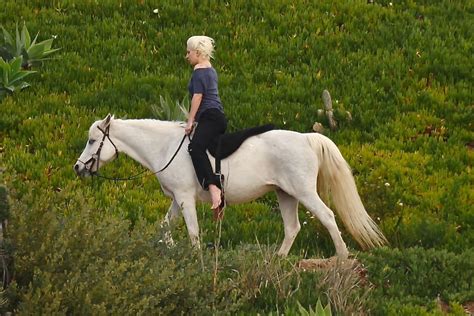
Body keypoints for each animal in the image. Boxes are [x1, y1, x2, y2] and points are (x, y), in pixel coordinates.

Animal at [73, 115, 386, 258]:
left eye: (92, 140)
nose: (78, 167)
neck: (165, 147)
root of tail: (306, 138)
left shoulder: (185, 198)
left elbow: (192, 230)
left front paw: (195, 258)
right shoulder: (176, 199)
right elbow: (164, 226)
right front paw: (170, 248)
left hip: (304, 192)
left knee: (328, 217)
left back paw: (342, 256)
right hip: (285, 194)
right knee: (292, 227)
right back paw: (278, 259)